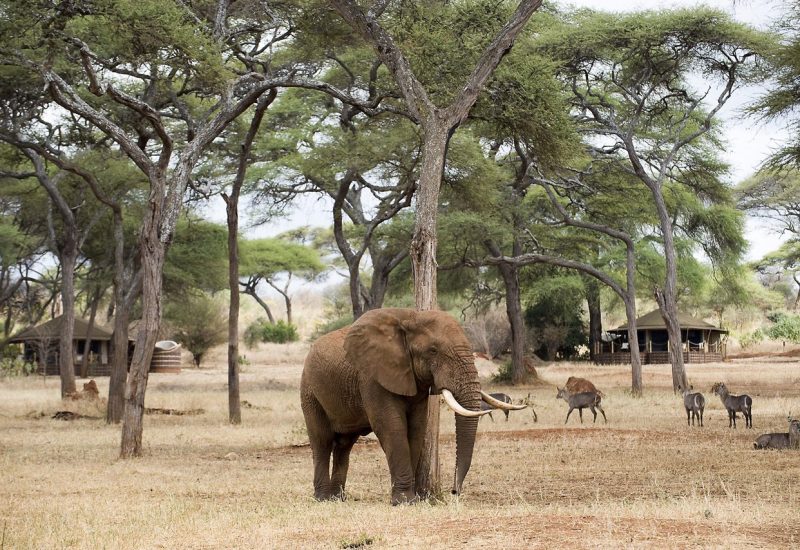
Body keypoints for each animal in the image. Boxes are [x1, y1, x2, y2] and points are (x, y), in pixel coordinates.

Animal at [300, 307, 524, 505]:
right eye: (433, 351)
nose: (454, 491)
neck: (411, 317)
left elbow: (416, 428)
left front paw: (412, 499)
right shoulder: (372, 377)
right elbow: (392, 428)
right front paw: (405, 501)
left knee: (344, 445)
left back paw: (337, 499)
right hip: (309, 392)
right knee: (322, 441)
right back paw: (323, 499)